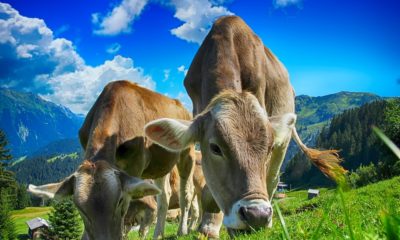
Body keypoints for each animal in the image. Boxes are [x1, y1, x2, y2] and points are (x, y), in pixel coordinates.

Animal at [27, 81, 196, 240]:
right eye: (79, 208)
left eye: (120, 201)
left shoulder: (135, 165)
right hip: (160, 165)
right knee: (164, 196)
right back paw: (158, 234)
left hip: (187, 152)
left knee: (186, 193)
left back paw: (183, 230)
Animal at [145, 15, 346, 237]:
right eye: (215, 148)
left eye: (268, 148)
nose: (257, 215)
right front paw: (208, 227)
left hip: (283, 144)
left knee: (272, 179)